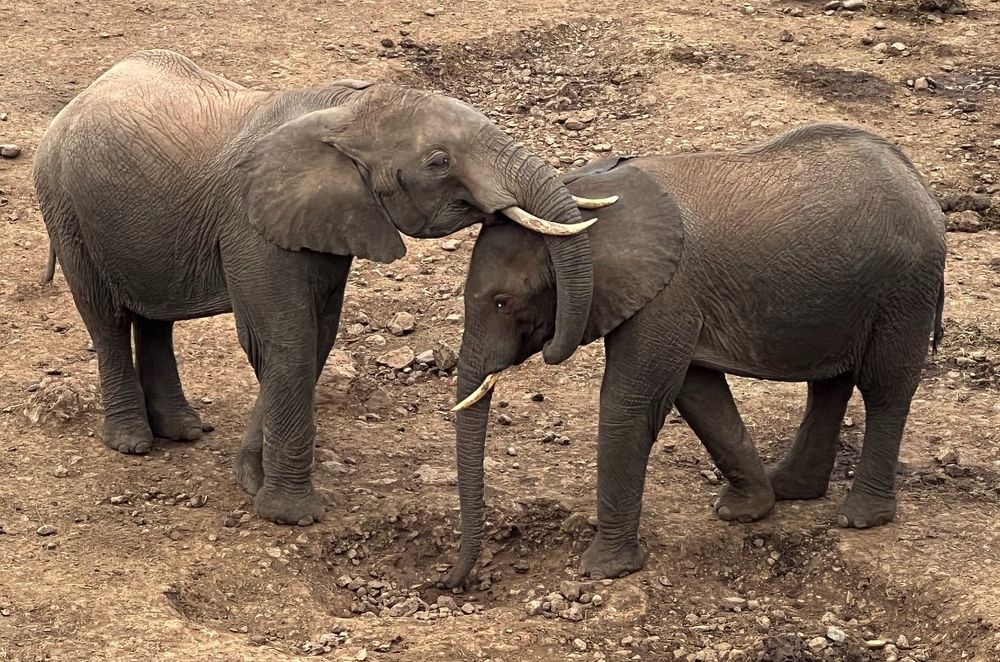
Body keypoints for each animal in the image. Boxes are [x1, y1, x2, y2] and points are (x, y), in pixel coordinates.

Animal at [32, 49, 618, 526]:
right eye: (438, 162)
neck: (345, 110)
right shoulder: (251, 225)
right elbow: (285, 341)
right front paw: (290, 516)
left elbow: (317, 338)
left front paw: (250, 479)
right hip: (63, 204)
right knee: (105, 318)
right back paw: (133, 444)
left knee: (156, 320)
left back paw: (184, 432)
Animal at [443, 123, 947, 585]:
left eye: (502, 303)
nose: (451, 582)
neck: (577, 208)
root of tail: (918, 180)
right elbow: (699, 394)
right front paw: (744, 511)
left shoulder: (668, 294)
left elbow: (632, 403)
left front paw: (603, 571)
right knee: (829, 384)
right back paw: (791, 488)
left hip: (905, 288)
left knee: (885, 388)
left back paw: (860, 518)